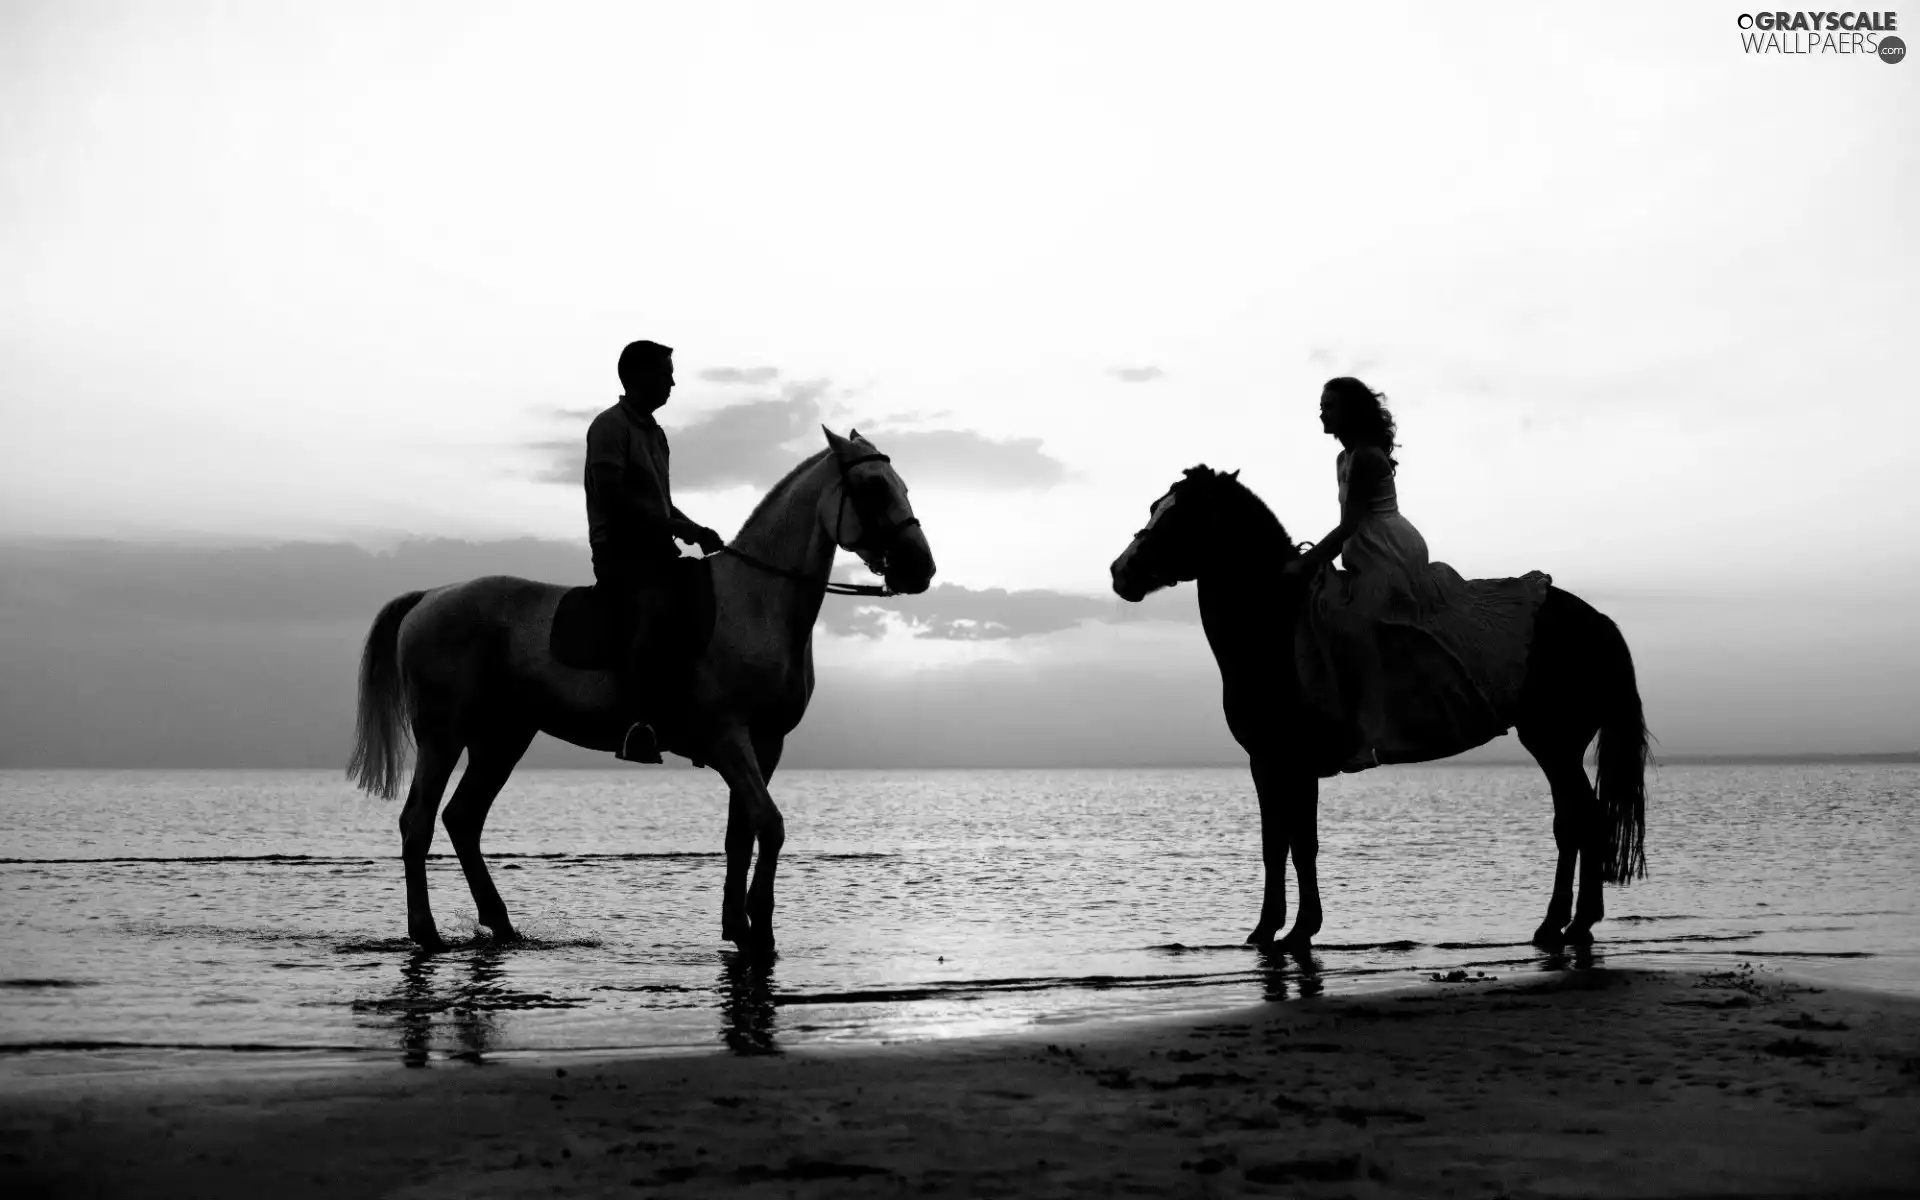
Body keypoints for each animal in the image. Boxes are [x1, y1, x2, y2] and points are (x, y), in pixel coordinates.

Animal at [1113, 462, 1651, 948]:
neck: (1276, 625)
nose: (1120, 572)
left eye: (1179, 516)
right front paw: (1274, 928)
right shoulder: (1270, 763)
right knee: (1577, 821)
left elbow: (1297, 844)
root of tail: (1598, 621)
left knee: (1581, 820)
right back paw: (1567, 924)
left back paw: (1566, 924)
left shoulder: (1285, 760)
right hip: (1558, 745)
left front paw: (1293, 930)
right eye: (1154, 507)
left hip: (1553, 741)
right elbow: (1279, 844)